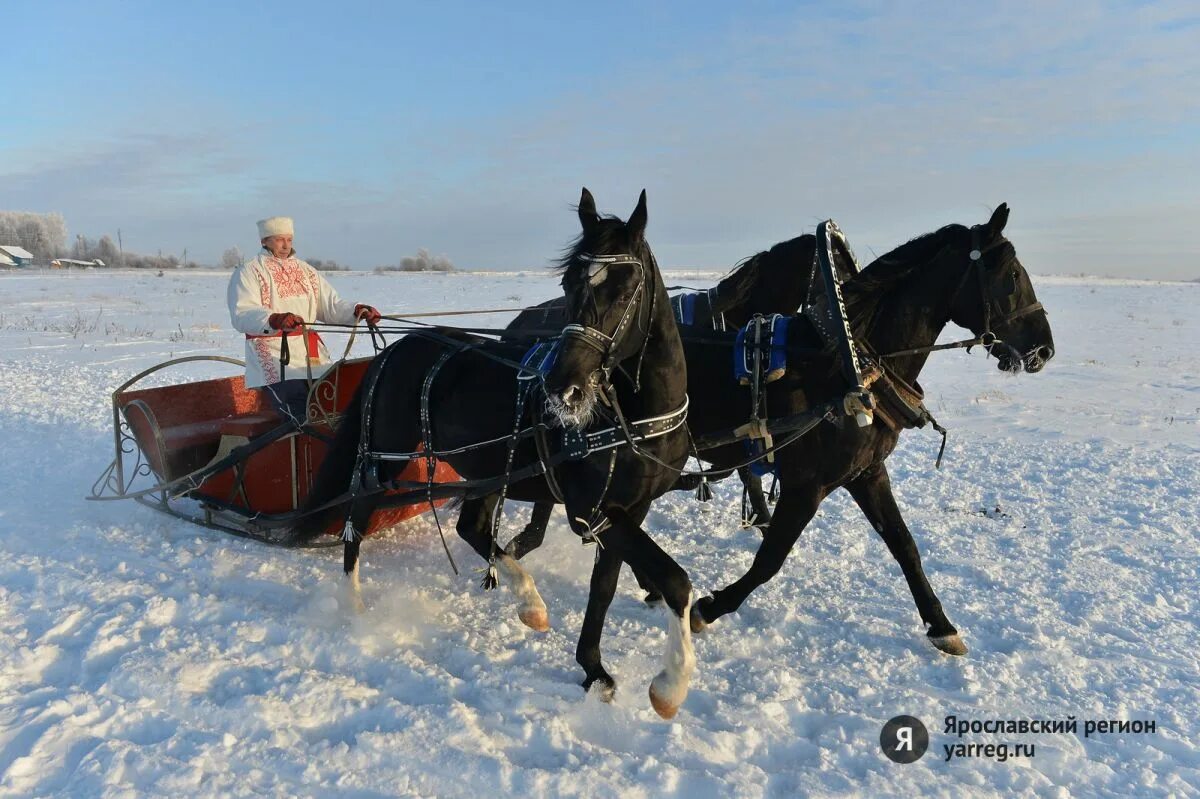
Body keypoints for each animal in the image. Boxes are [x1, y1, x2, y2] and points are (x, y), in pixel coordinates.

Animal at [294, 188, 700, 715]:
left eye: (626, 285)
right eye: (568, 283)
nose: (563, 386)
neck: (632, 417)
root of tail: (394, 350)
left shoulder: (628, 508)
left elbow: (605, 587)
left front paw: (593, 669)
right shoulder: (593, 509)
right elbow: (675, 581)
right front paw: (671, 683)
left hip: (487, 467)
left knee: (472, 526)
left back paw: (528, 600)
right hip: (386, 457)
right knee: (358, 513)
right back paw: (355, 601)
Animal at [482, 202, 1056, 657]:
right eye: (1011, 276)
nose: (1044, 348)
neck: (847, 364)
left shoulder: (866, 474)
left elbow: (905, 546)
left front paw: (940, 625)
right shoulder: (808, 483)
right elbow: (770, 559)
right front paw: (711, 606)